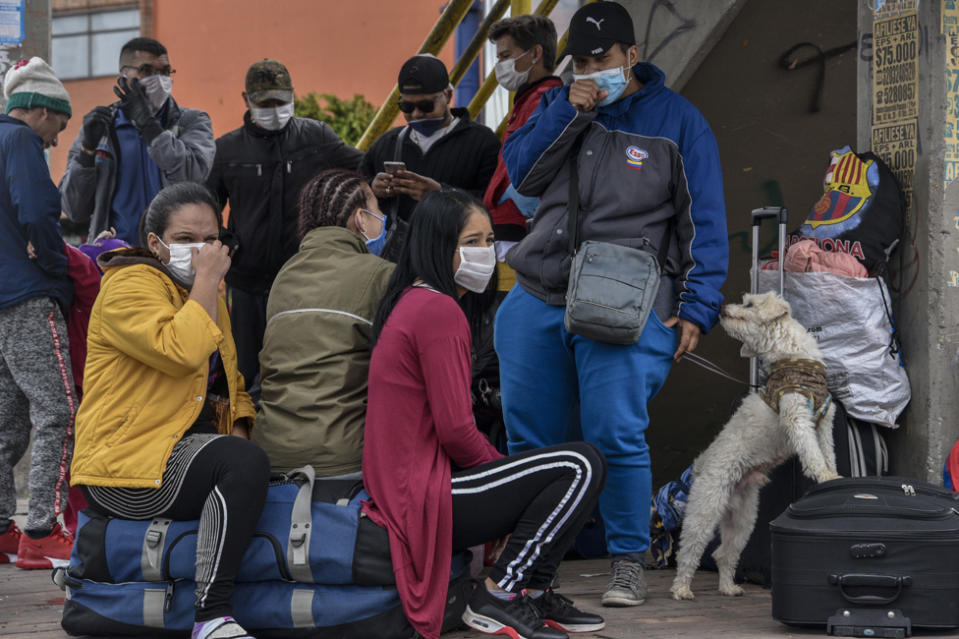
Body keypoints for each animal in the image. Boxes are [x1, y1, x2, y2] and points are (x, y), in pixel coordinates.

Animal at [672, 292, 836, 604]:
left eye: (748, 304)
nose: (721, 308)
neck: (792, 356)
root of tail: (701, 465)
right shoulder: (796, 416)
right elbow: (811, 451)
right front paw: (822, 474)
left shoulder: (823, 421)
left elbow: (827, 451)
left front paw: (833, 474)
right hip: (706, 507)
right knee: (689, 551)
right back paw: (681, 589)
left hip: (743, 518)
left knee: (723, 554)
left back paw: (728, 587)